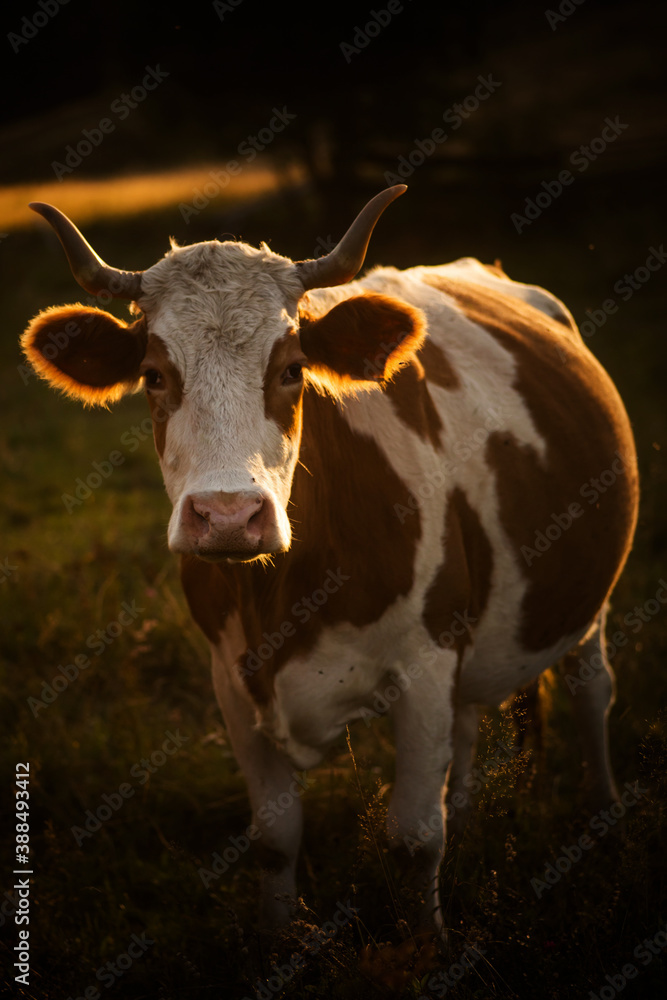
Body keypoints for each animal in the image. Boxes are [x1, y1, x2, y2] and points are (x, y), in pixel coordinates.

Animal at [22, 185, 638, 942]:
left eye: (291, 370)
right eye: (153, 375)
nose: (228, 515)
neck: (280, 598)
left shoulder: (425, 663)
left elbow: (413, 839)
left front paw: (427, 946)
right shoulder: (231, 679)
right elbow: (274, 839)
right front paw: (278, 940)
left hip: (588, 601)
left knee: (591, 689)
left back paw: (604, 820)